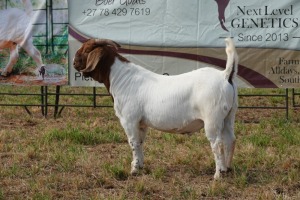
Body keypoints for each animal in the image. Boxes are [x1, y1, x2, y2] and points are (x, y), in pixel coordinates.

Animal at [74, 38, 239, 179]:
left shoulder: (129, 120)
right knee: (230, 140)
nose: (74, 62)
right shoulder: (141, 123)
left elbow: (133, 142)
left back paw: (218, 174)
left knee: (217, 143)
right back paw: (227, 169)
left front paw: (133, 170)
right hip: (228, 116)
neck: (122, 78)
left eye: (86, 49)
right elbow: (140, 142)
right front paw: (140, 166)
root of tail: (225, 75)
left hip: (213, 119)